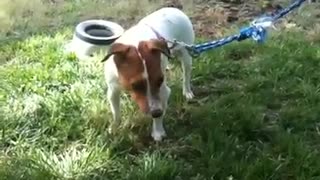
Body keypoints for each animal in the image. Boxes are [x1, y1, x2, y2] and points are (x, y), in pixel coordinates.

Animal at [101, 7, 195, 141]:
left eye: (160, 80)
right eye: (135, 85)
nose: (156, 112)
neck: (135, 41)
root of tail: (175, 9)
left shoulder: (163, 92)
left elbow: (160, 112)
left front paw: (158, 132)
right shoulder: (113, 90)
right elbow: (116, 113)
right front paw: (114, 127)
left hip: (186, 54)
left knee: (186, 74)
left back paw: (187, 91)